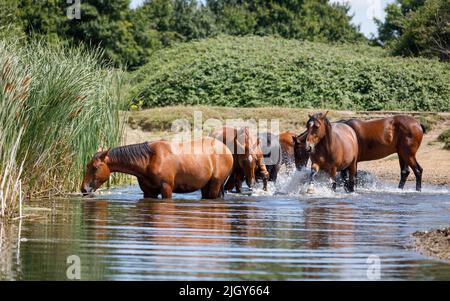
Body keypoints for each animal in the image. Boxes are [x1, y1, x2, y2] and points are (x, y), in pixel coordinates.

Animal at [81, 137, 234, 198]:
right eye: (87, 165)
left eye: (95, 167)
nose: (84, 189)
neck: (149, 160)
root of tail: (226, 149)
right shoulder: (148, 192)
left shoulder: (166, 188)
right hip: (205, 186)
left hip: (215, 184)